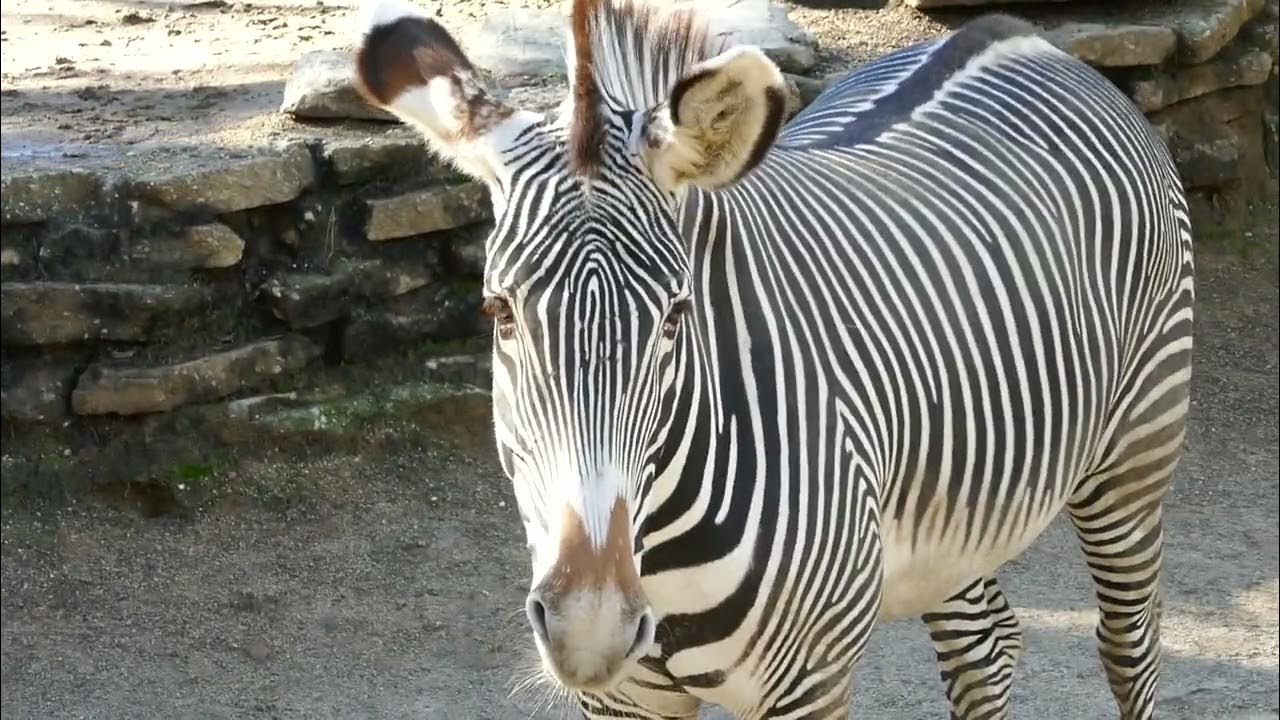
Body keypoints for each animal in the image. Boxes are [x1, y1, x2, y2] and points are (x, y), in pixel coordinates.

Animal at [354, 0, 1194, 717]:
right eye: (499, 313)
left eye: (676, 318)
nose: (589, 627)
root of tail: (1018, 36)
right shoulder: (626, 698)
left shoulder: (807, 682)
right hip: (959, 500)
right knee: (984, 647)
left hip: (1137, 447)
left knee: (1128, 644)